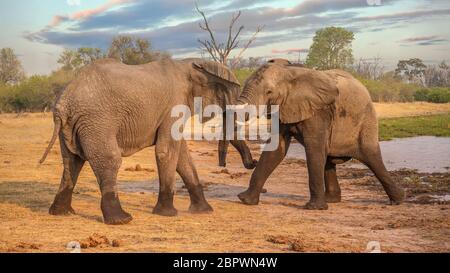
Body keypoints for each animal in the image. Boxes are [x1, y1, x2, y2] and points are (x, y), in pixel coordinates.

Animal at [38, 56, 251, 223]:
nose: (224, 165)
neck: (191, 63)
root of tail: (64, 101)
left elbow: (182, 156)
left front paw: (204, 211)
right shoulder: (174, 104)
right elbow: (166, 150)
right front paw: (167, 214)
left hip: (74, 125)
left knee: (72, 162)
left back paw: (61, 213)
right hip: (97, 120)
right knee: (110, 159)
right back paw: (122, 219)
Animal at [236, 59, 404, 208]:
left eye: (269, 91)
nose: (253, 161)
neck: (289, 72)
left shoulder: (318, 110)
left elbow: (314, 148)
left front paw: (313, 208)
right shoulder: (286, 106)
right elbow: (276, 149)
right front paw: (245, 200)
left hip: (366, 119)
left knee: (372, 157)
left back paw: (398, 200)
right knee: (329, 158)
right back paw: (332, 200)